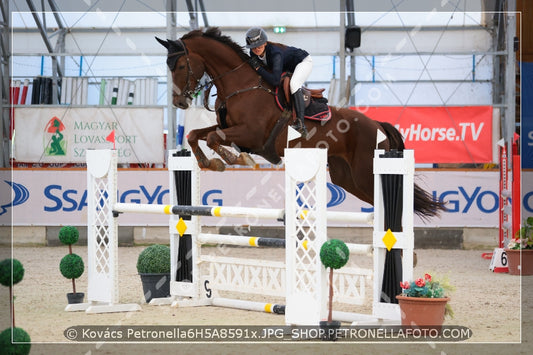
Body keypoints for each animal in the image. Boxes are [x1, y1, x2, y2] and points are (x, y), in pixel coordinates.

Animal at [155, 27, 444, 220]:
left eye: (180, 66)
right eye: (168, 66)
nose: (179, 102)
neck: (240, 85)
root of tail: (377, 125)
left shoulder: (251, 135)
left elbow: (215, 139)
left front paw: (233, 160)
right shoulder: (229, 130)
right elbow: (195, 134)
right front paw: (210, 162)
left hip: (364, 173)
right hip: (347, 177)